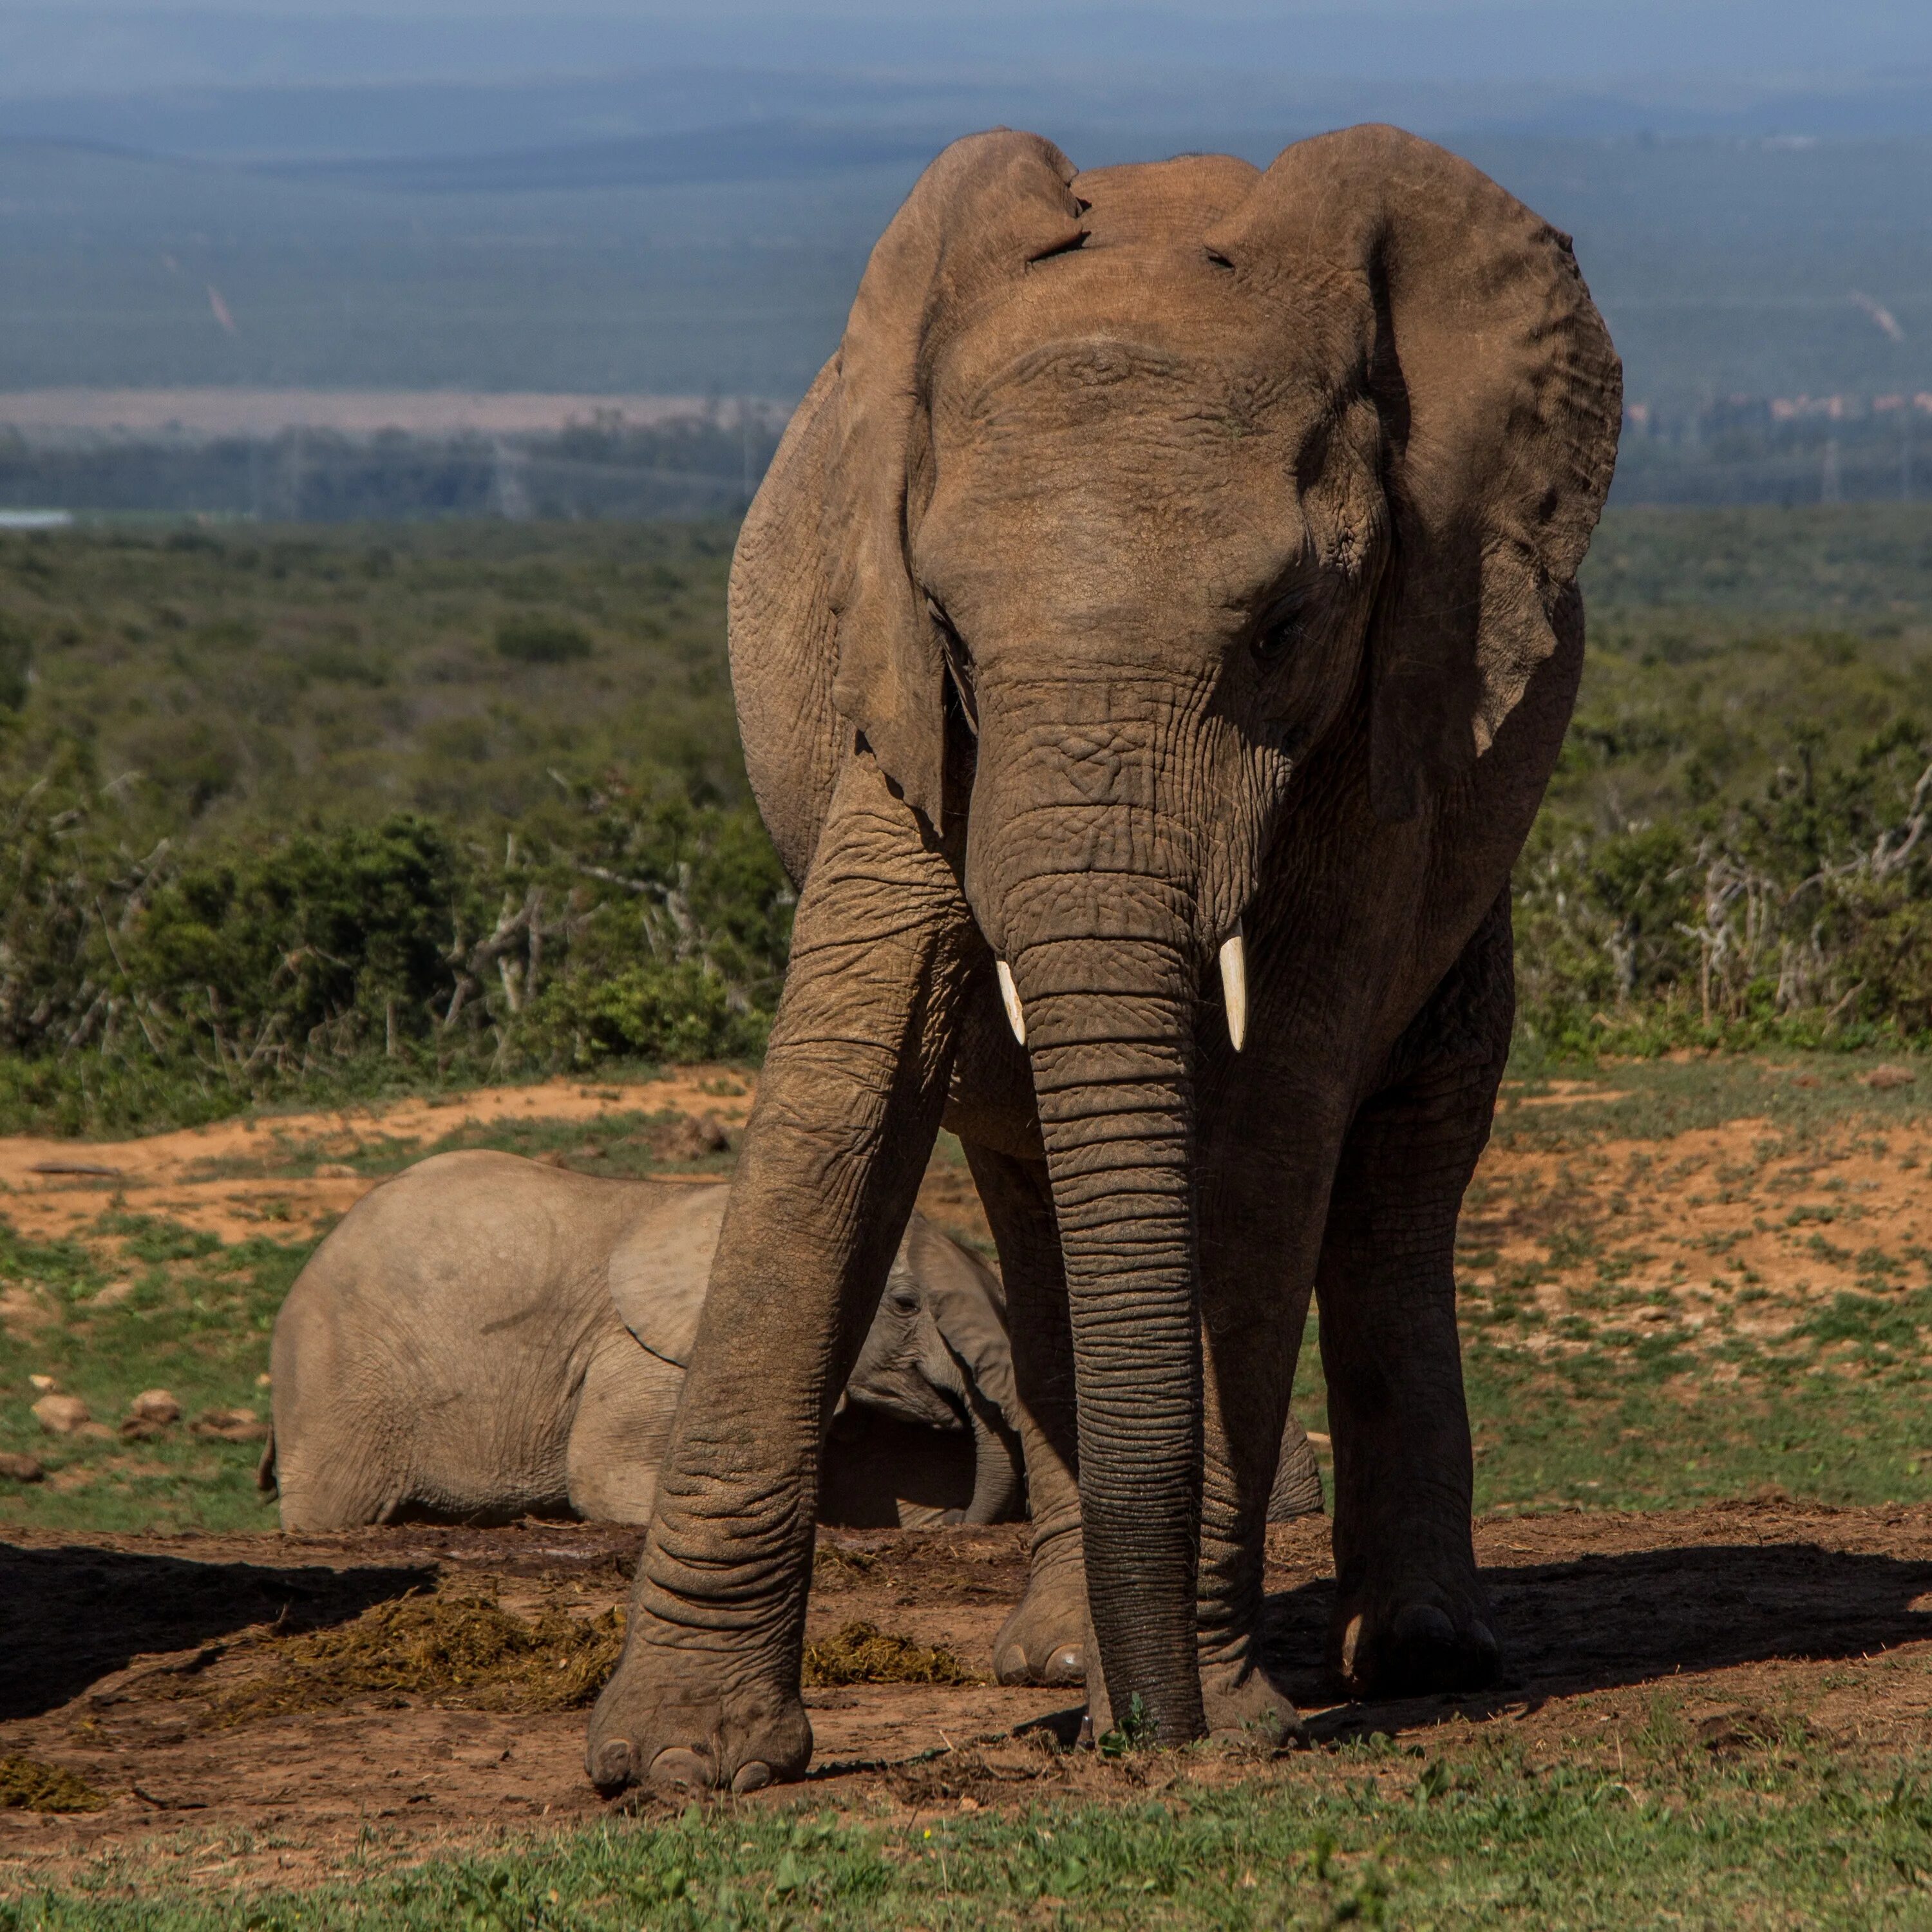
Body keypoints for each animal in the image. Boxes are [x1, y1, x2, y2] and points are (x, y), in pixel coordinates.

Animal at [587, 117, 1615, 1777]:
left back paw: (1408, 1655)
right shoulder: (897, 708)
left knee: (1396, 1174)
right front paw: (682, 1765)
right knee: (1027, 1179)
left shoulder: (1396, 686)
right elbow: (841, 1087)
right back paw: (1066, 1661)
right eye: (948, 628)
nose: (1149, 1731)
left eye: (1284, 625)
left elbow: (1272, 1134)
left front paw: (1226, 1717)